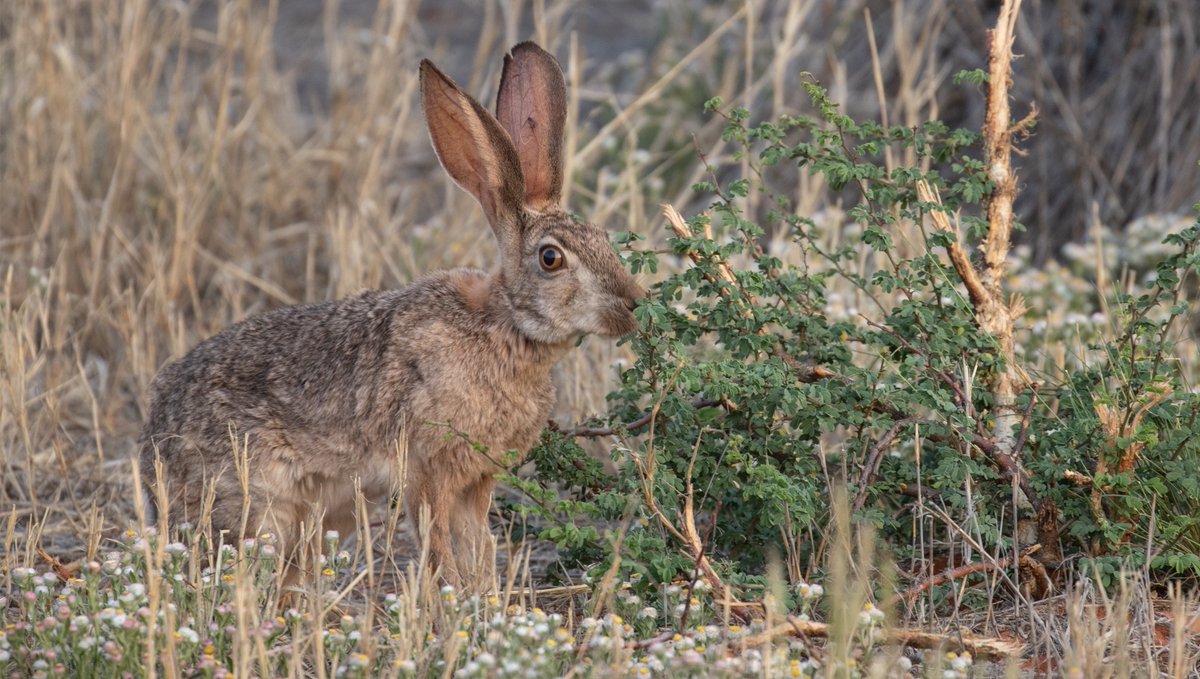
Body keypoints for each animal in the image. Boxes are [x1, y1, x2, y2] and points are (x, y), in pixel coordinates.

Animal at [138, 41, 644, 590]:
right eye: (551, 258)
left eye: (603, 237)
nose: (633, 303)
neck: (504, 325)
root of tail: (152, 463)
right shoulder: (427, 469)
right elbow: (439, 547)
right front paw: (452, 600)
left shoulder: (477, 480)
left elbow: (479, 546)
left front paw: (485, 597)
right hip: (260, 506)